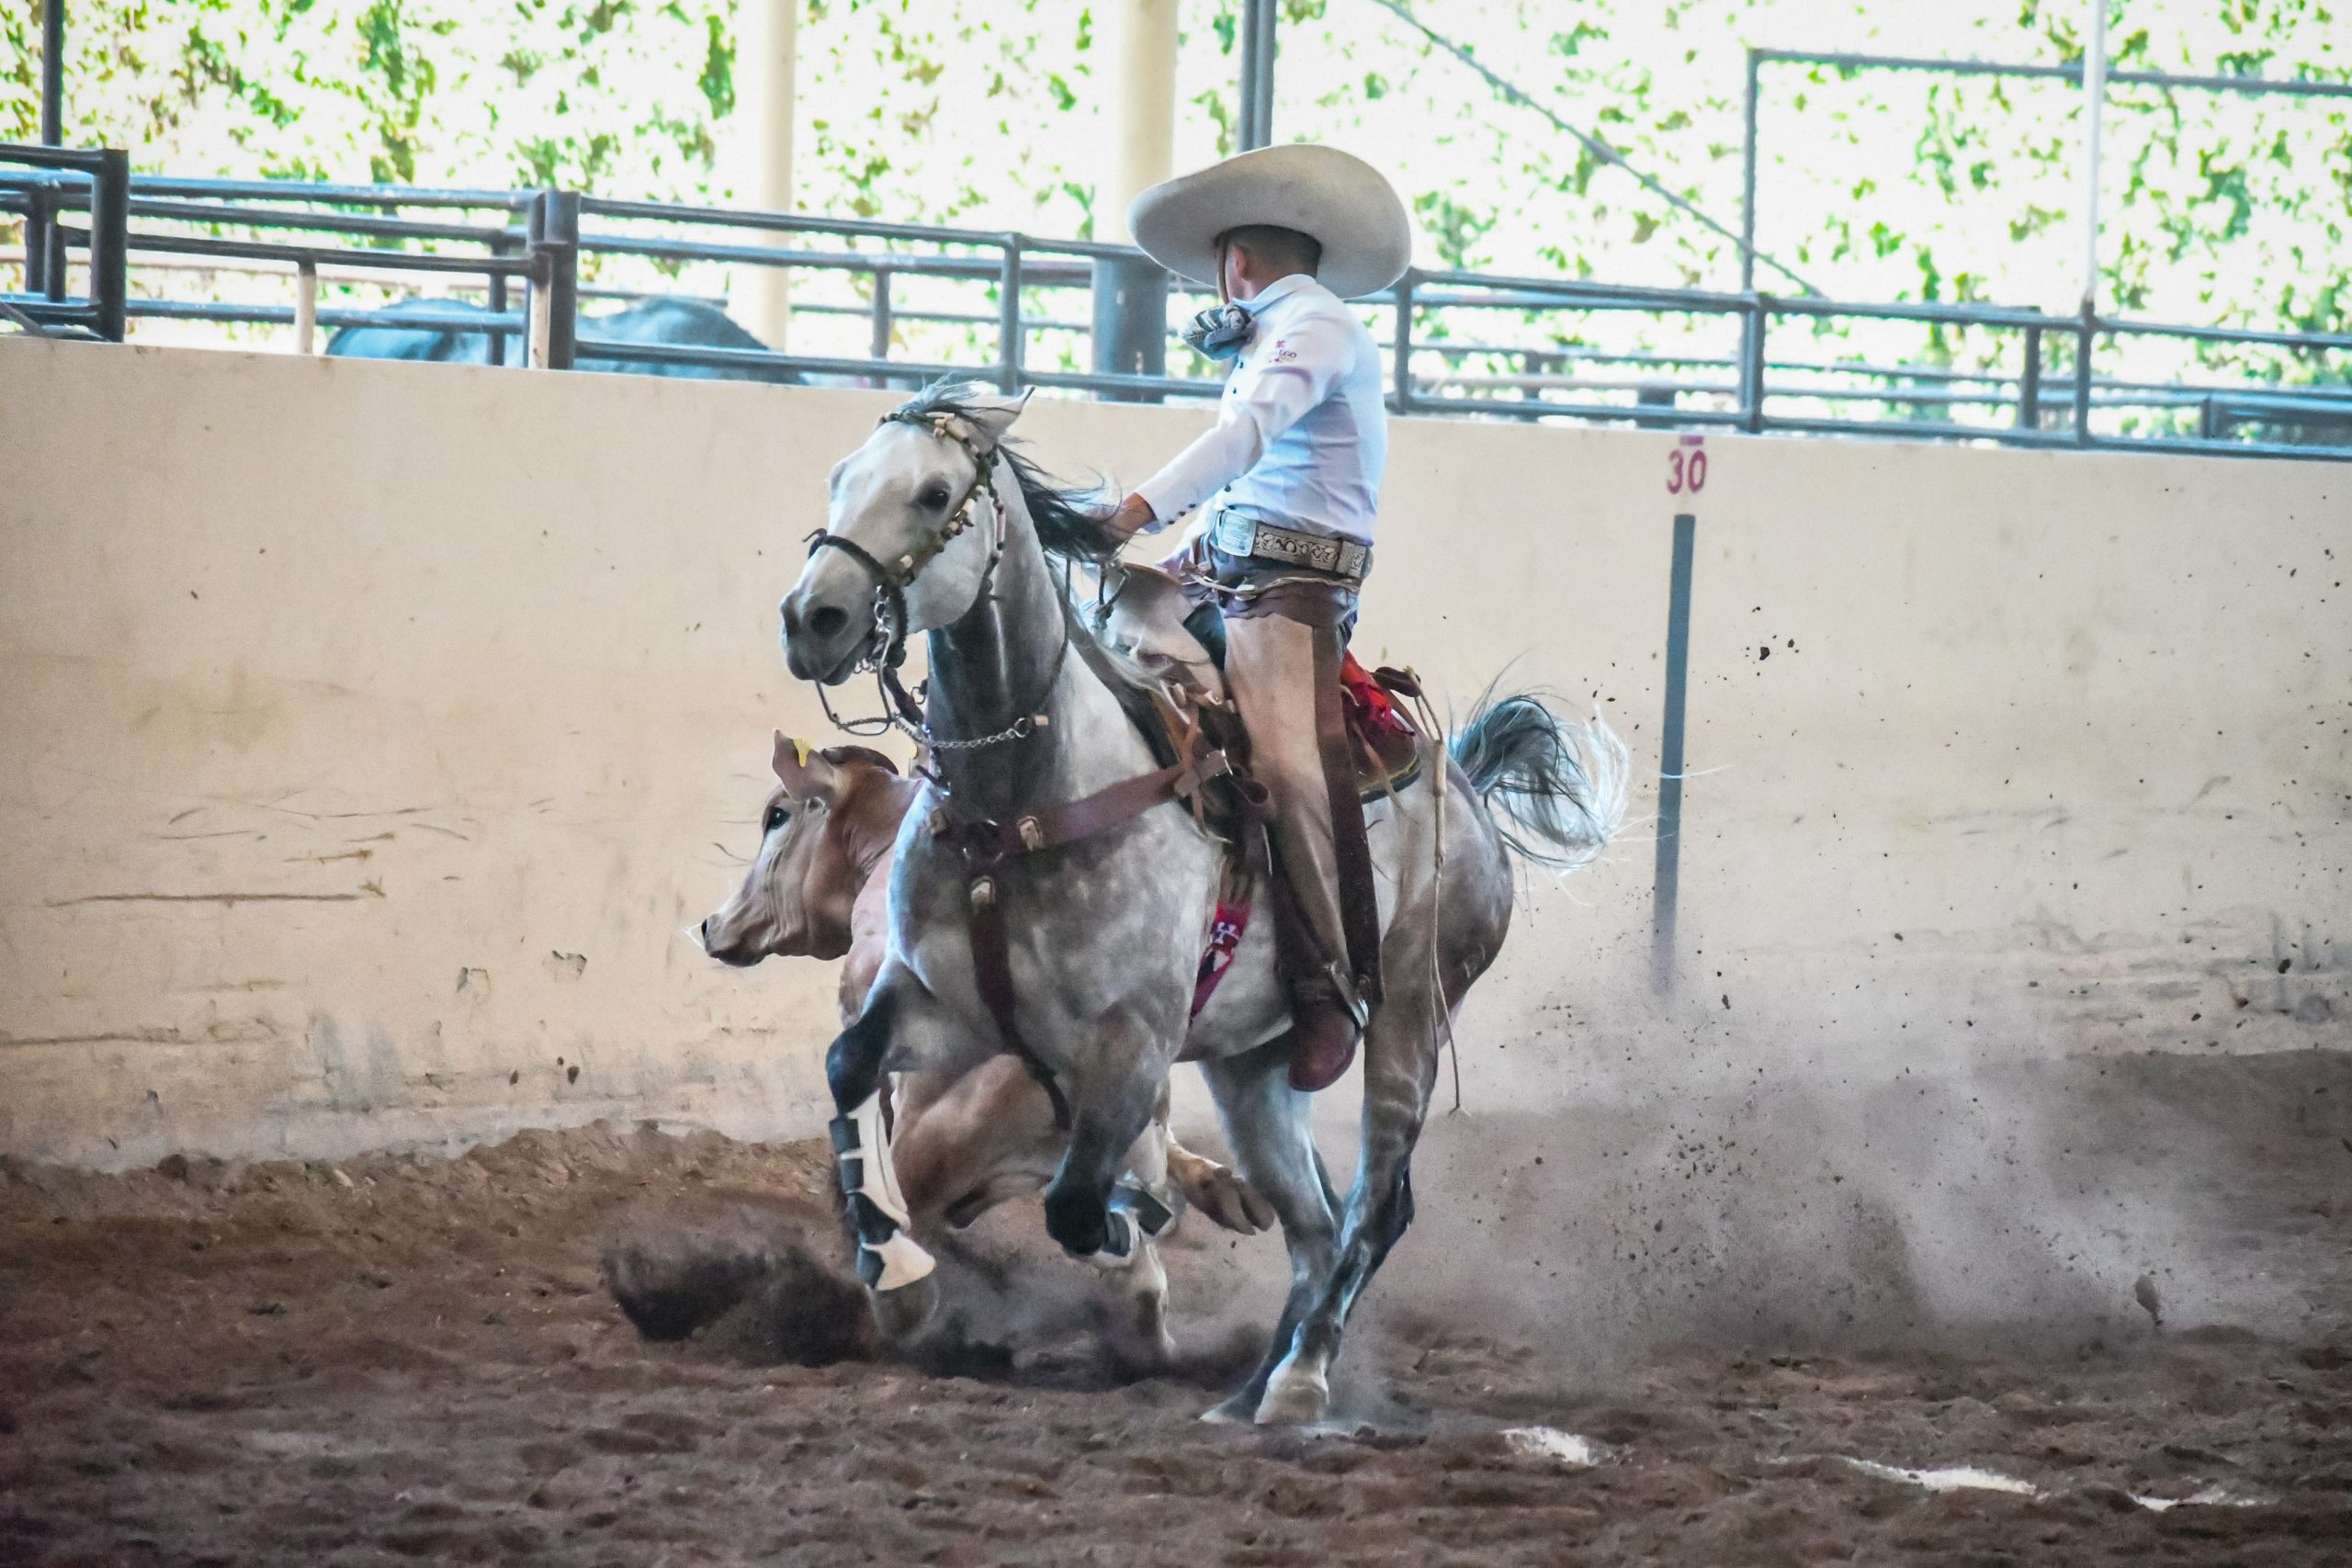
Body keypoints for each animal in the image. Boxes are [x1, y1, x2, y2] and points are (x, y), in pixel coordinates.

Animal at [771, 380, 1618, 1419]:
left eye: (933, 494)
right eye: (842, 477)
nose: (813, 617)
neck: (1020, 804)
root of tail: (1460, 786)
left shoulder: (1134, 1043)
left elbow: (1077, 1205)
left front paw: (1134, 1228)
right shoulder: (937, 1004)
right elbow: (849, 1067)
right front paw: (898, 1275)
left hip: (1412, 1019)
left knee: (1374, 1209)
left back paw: (1299, 1380)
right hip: (1253, 1065)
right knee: (1312, 1224)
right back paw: (1247, 1389)